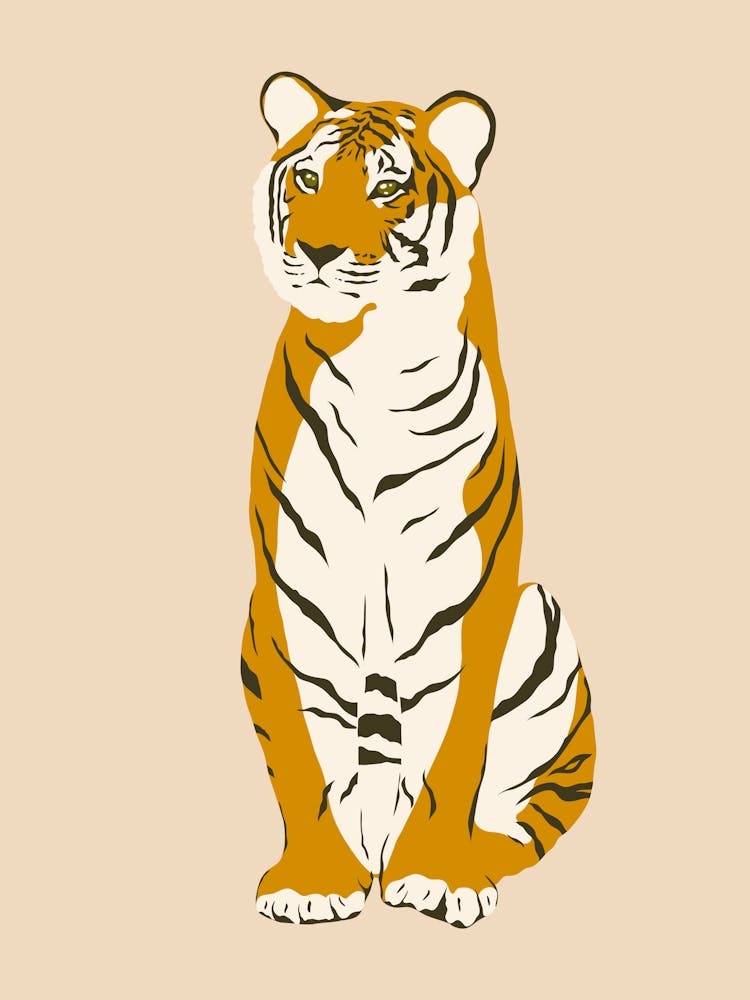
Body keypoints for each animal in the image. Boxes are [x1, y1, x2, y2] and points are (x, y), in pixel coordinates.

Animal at [241, 72, 596, 928]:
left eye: (388, 188)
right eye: (308, 179)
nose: (318, 252)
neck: (376, 364)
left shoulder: (471, 600)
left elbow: (454, 750)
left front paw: (441, 875)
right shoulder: (289, 596)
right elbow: (301, 754)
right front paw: (311, 883)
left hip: (541, 615)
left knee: (526, 822)